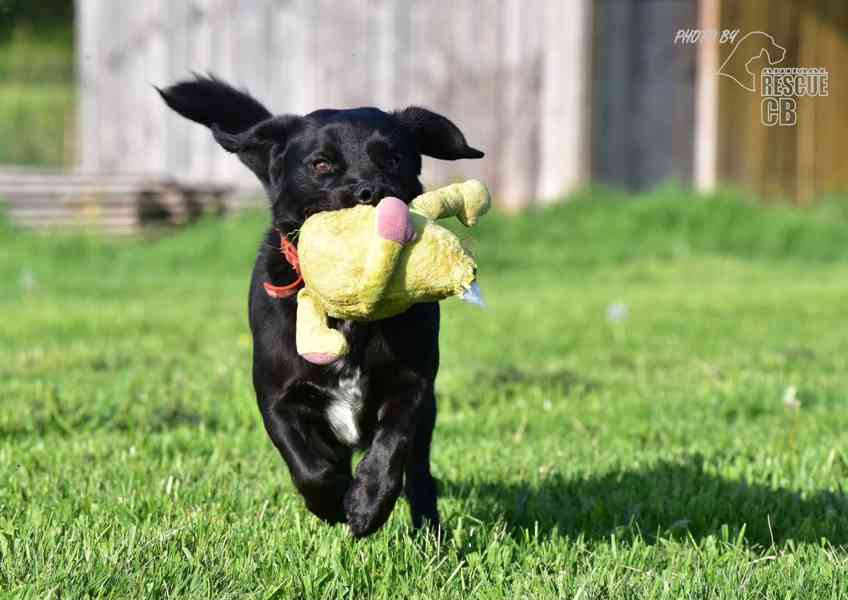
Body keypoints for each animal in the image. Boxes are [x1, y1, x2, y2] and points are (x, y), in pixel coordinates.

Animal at [156, 76, 480, 540]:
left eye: (394, 158)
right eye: (322, 164)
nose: (370, 192)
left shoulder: (412, 384)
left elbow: (391, 447)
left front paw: (366, 505)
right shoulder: (277, 396)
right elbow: (309, 467)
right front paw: (332, 501)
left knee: (418, 475)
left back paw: (428, 537)